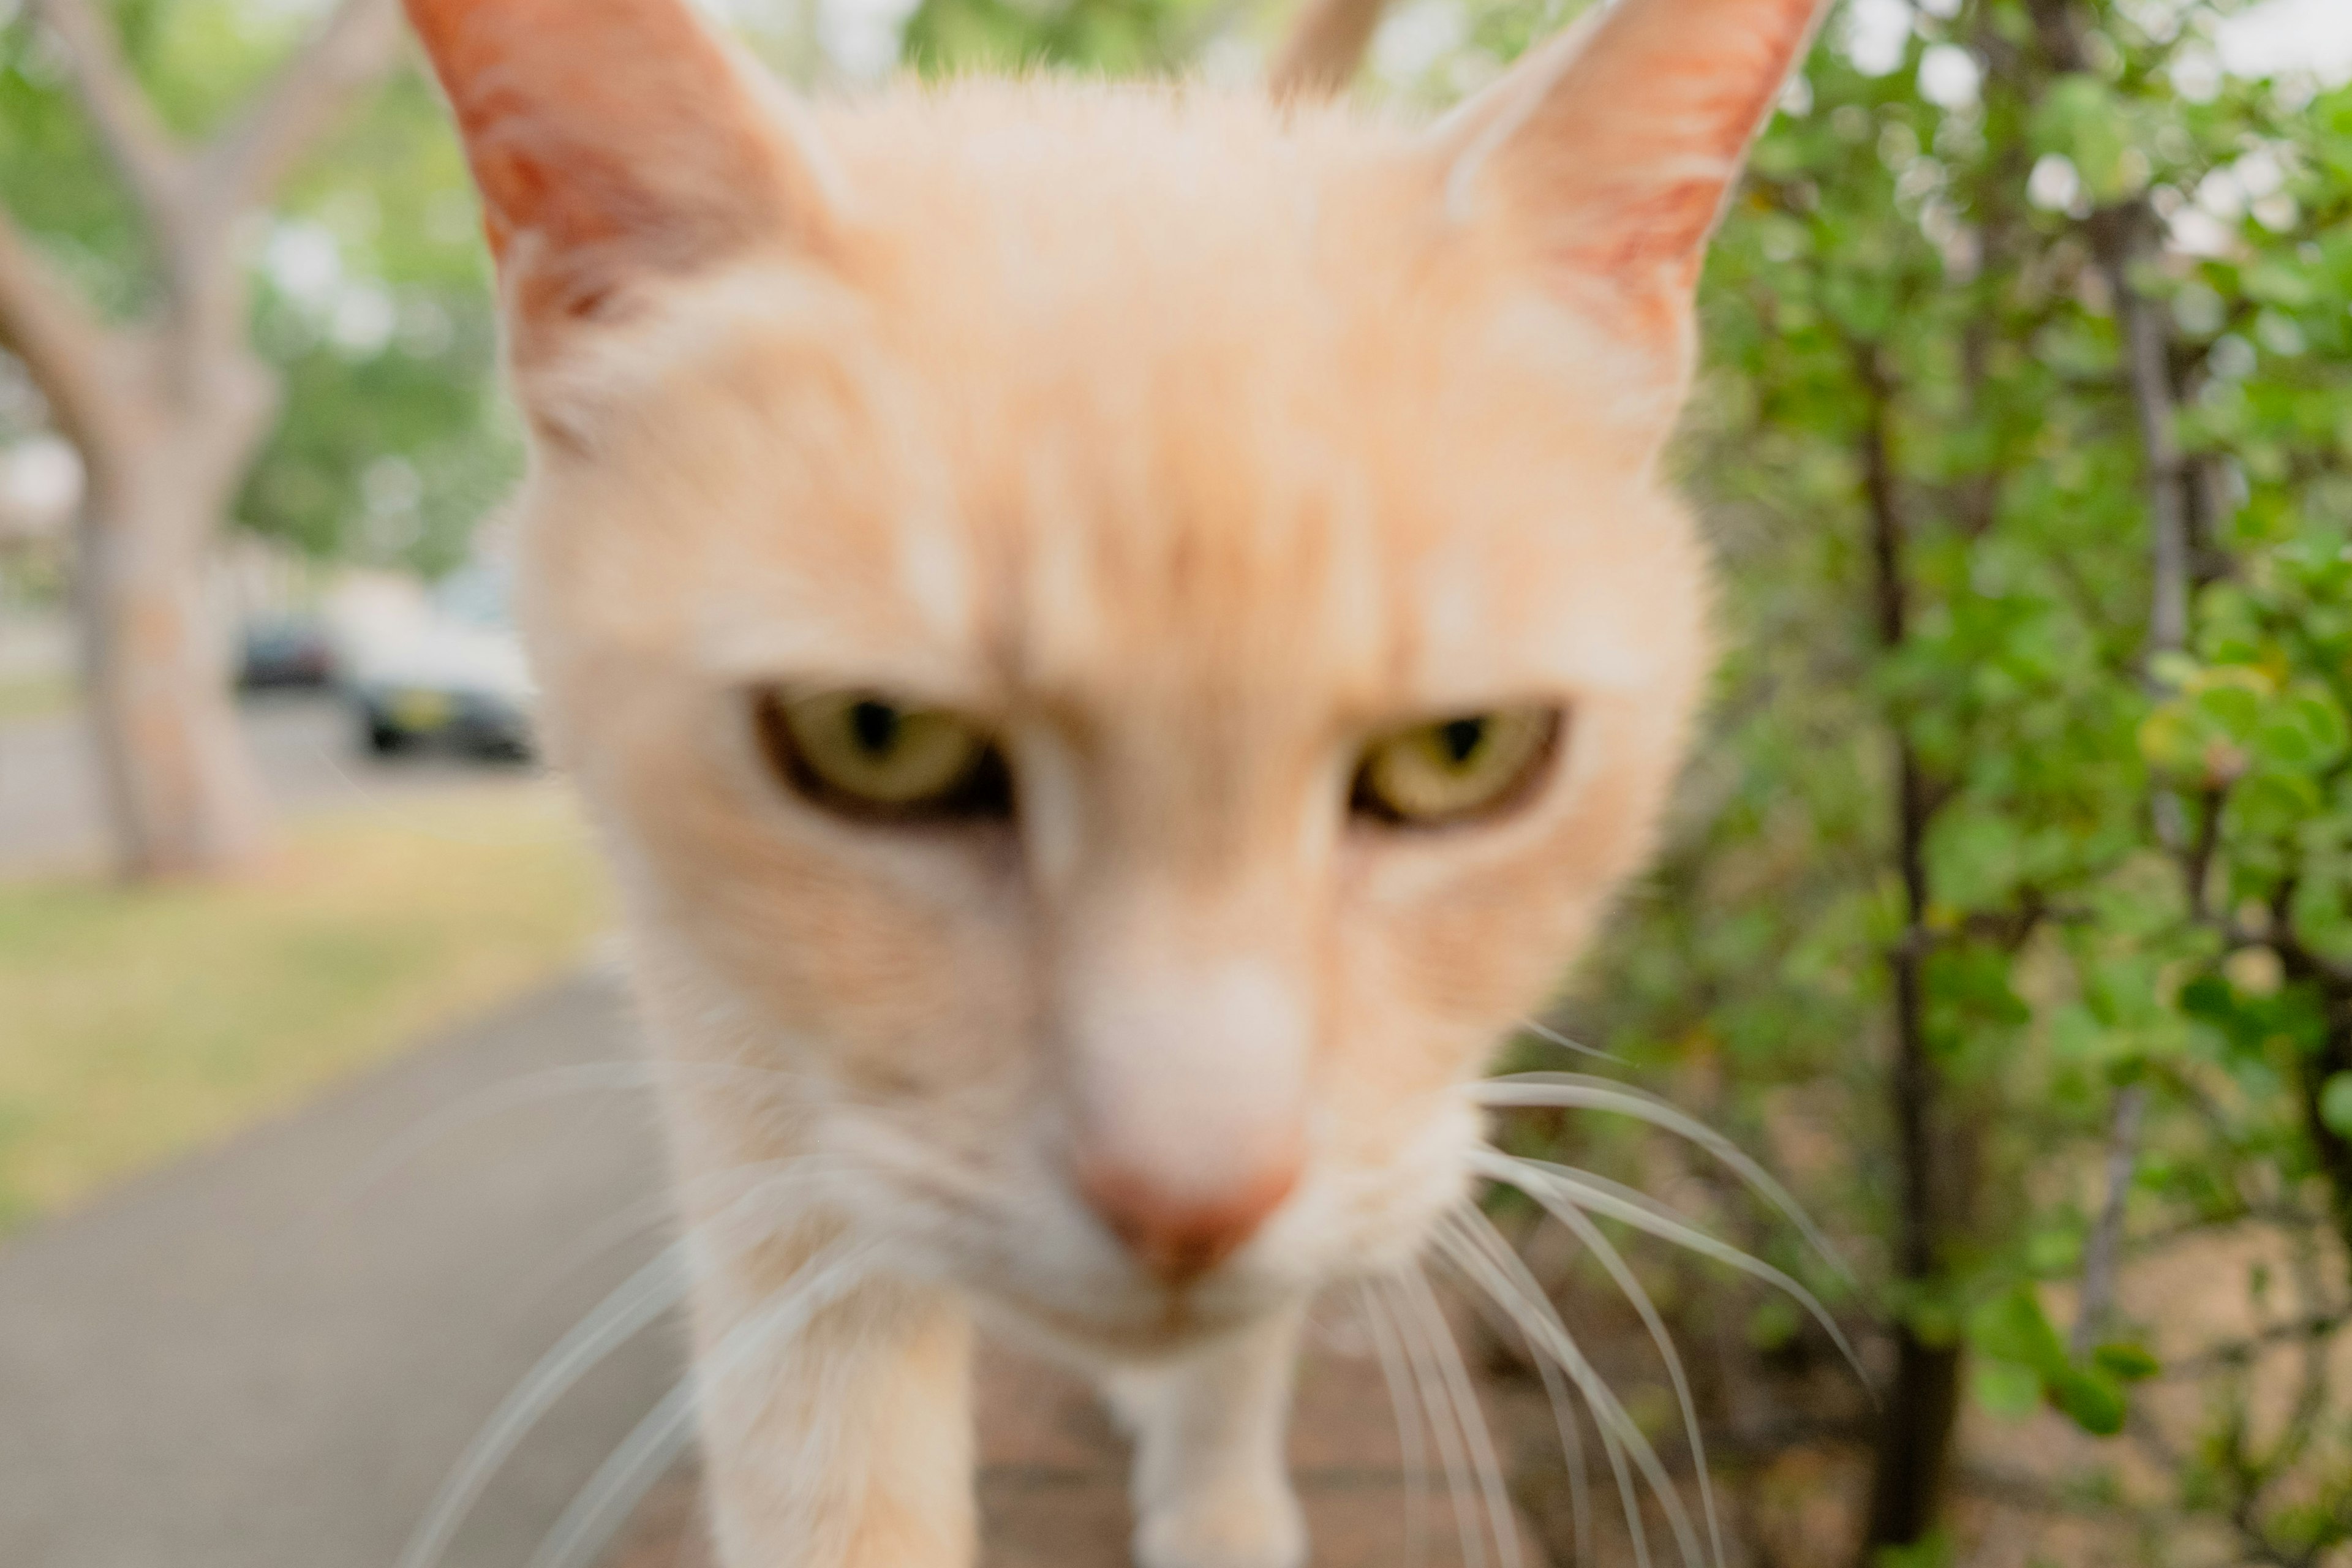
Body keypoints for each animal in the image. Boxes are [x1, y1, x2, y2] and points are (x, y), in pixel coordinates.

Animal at [399, 0, 1815, 1561]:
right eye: (873, 733)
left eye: (1461, 750)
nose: (1191, 1193)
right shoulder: (761, 1107)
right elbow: (829, 1460)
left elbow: (1242, 1353)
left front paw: (1220, 1500)